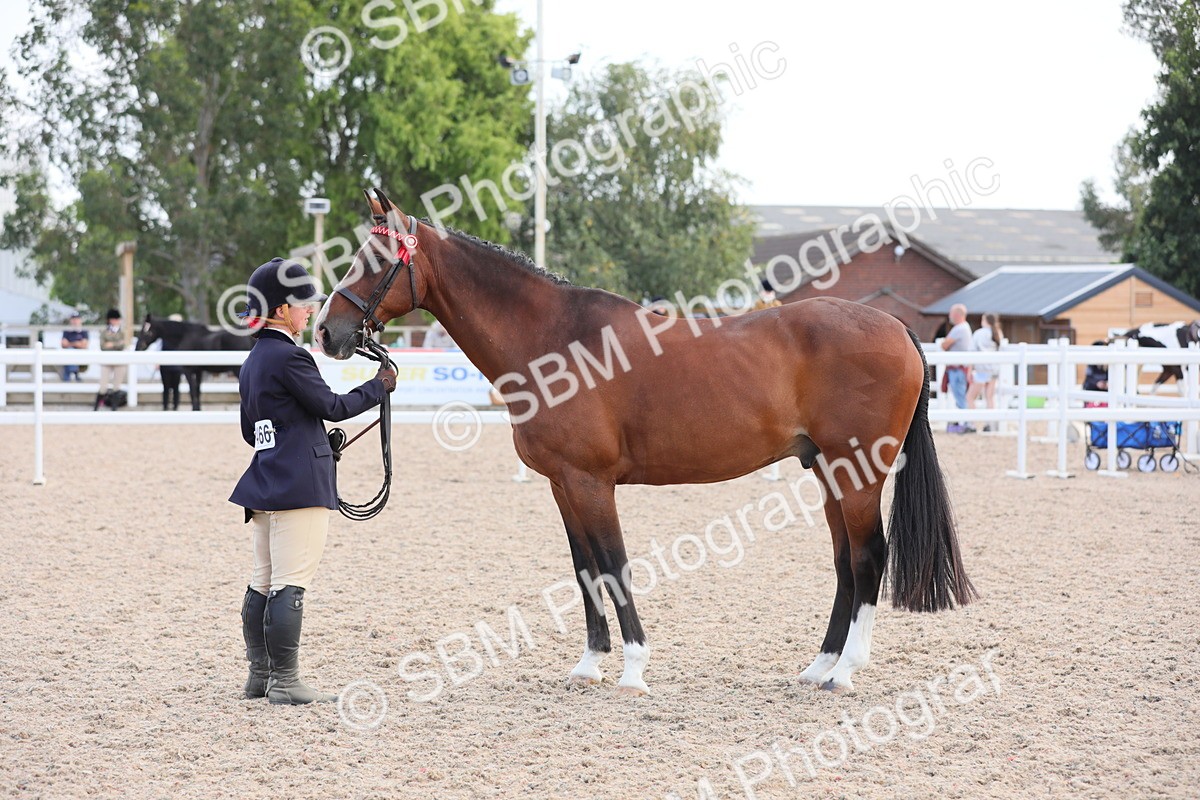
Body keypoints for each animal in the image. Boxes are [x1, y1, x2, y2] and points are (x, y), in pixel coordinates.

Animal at [315, 188, 976, 696]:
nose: (326, 331)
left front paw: (634, 667)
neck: (553, 338)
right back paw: (819, 667)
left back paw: (845, 673)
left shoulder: (592, 482)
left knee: (868, 558)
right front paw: (589, 665)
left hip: (858, 471)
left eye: (376, 259)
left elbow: (614, 565)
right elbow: (585, 569)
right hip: (827, 471)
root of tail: (895, 327)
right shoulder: (563, 484)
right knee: (844, 562)